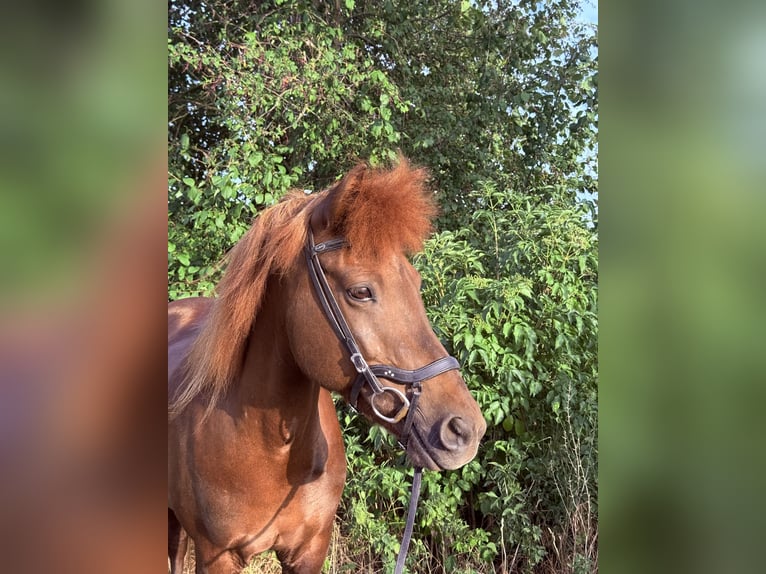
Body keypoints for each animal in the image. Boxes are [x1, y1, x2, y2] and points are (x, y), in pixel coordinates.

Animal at [168, 158, 487, 574]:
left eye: (415, 282)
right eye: (360, 291)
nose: (465, 429)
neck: (271, 449)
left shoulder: (309, 550)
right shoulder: (216, 557)